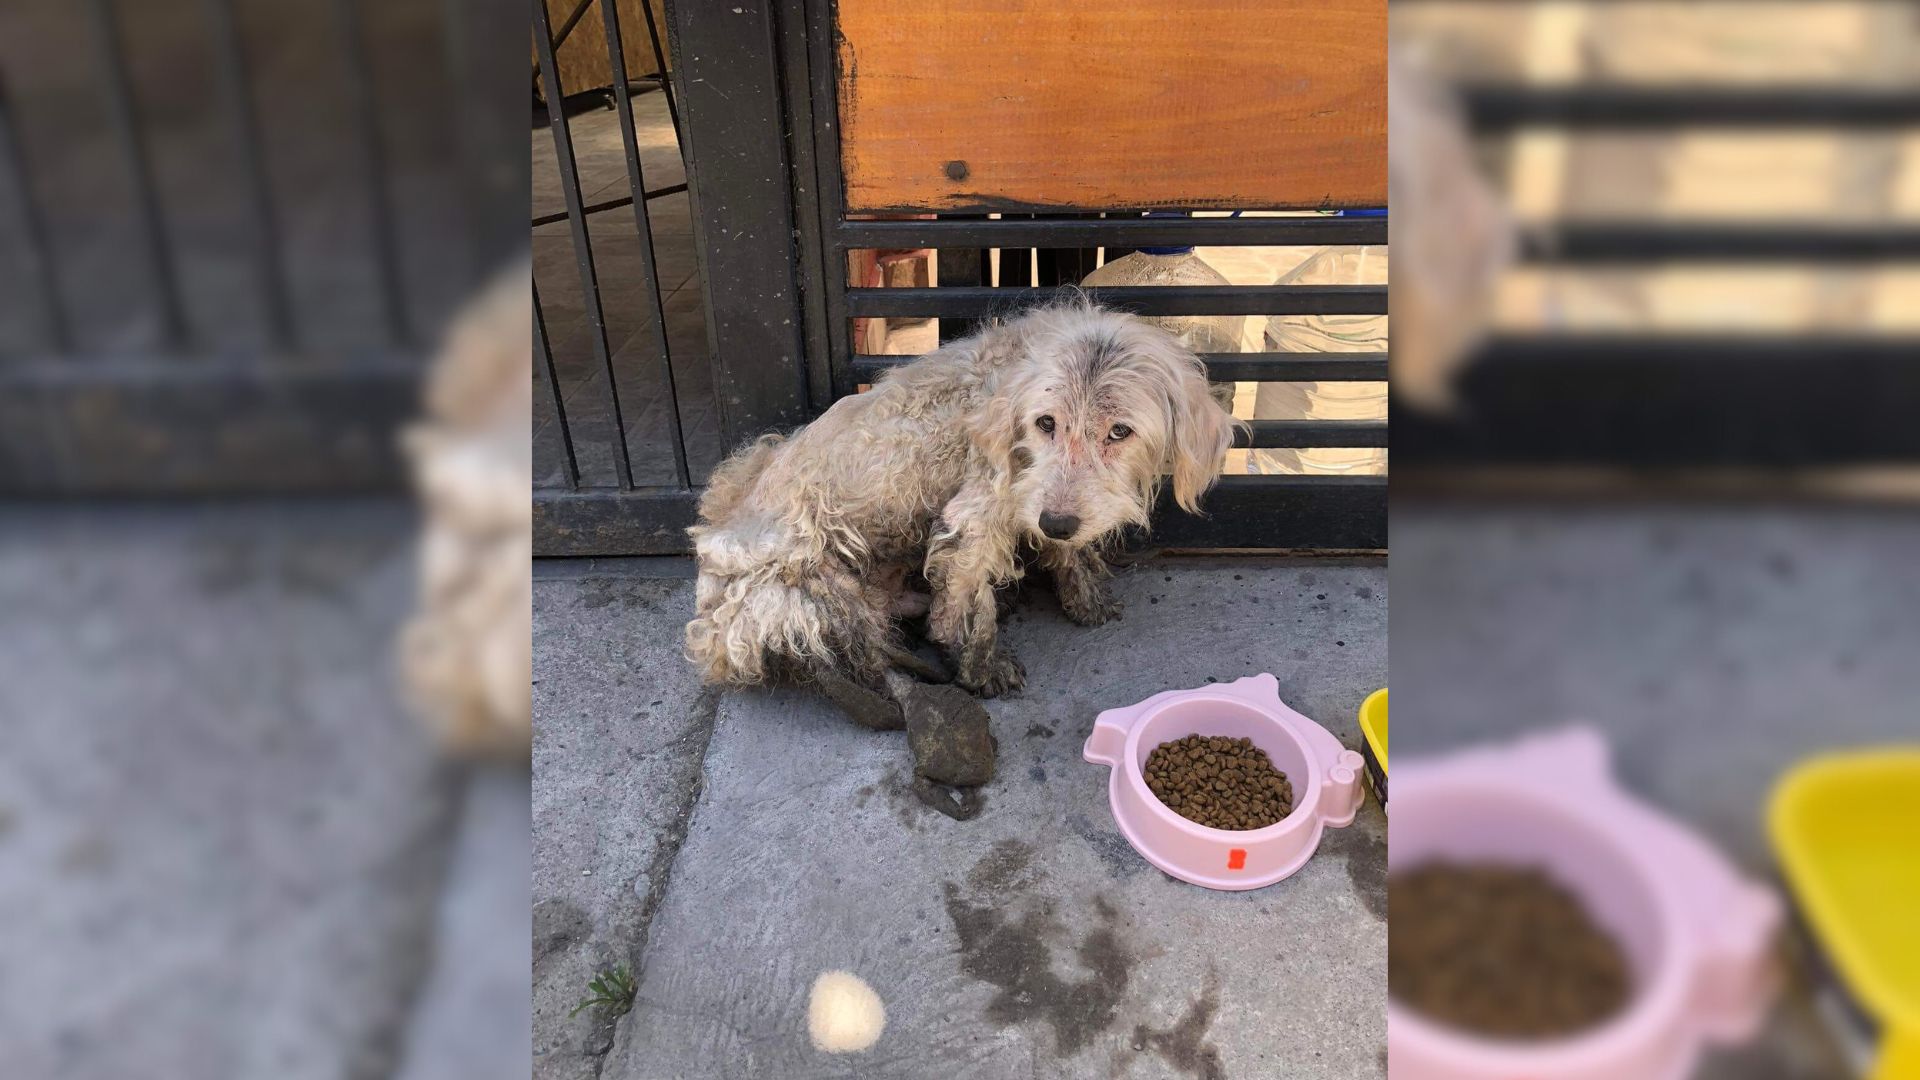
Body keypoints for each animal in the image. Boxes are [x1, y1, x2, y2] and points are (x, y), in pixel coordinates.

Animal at [683, 295, 1236, 699]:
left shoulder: (1042, 502)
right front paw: (980, 664)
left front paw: (1083, 590)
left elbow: (1063, 548)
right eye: (1046, 423)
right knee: (865, 660)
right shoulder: (979, 514)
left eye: (1119, 431)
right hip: (814, 587)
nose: (1057, 523)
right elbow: (968, 601)